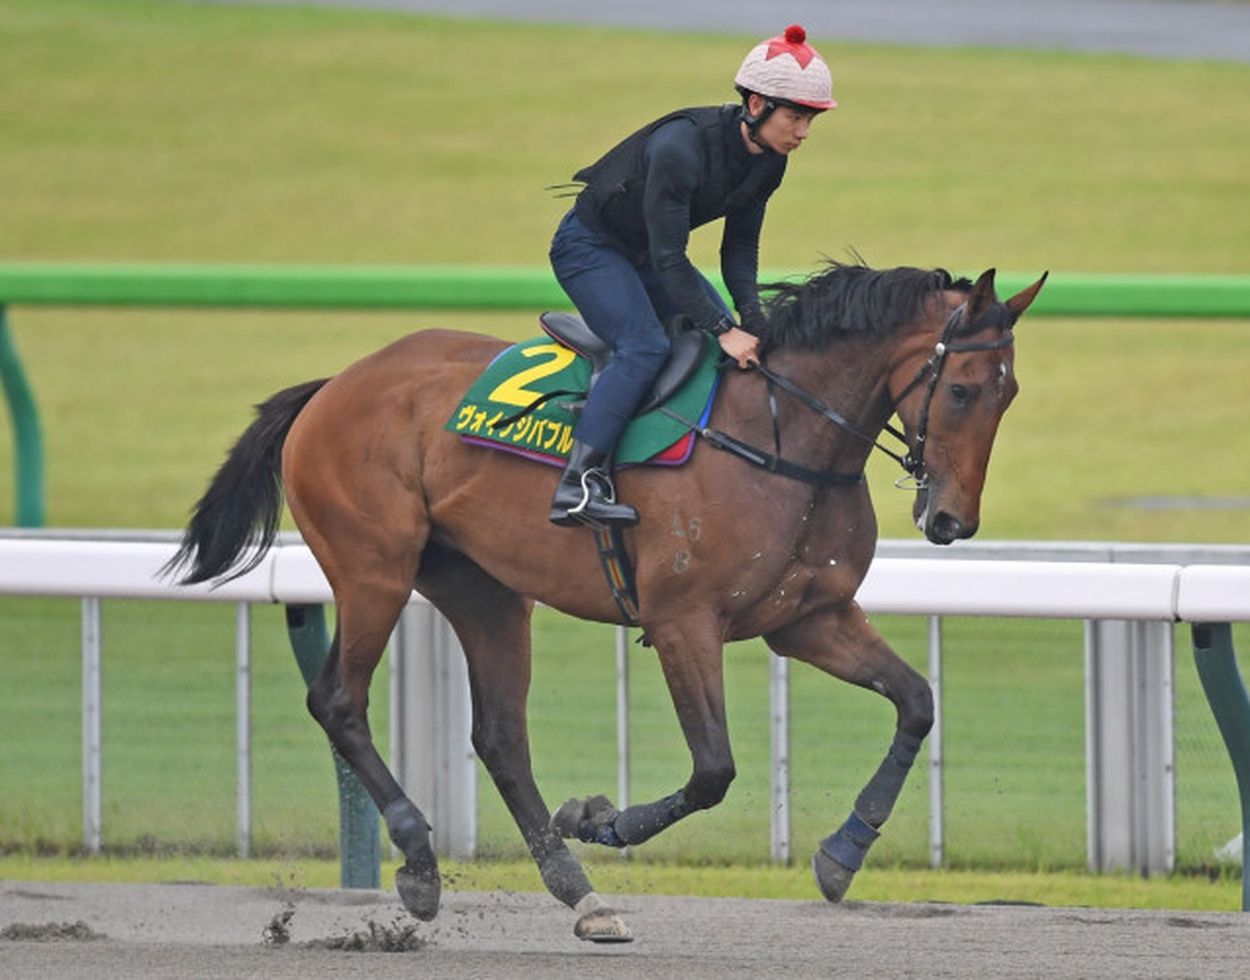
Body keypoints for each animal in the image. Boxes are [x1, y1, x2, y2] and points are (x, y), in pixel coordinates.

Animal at [166, 260, 1045, 940]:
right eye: (963, 390)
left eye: (1009, 395)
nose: (950, 520)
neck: (783, 438)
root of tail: (333, 386)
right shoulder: (684, 621)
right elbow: (713, 770)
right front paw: (600, 818)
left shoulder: (807, 620)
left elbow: (917, 702)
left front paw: (843, 853)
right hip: (373, 566)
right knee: (339, 702)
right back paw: (420, 863)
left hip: (483, 589)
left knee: (499, 737)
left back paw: (579, 894)